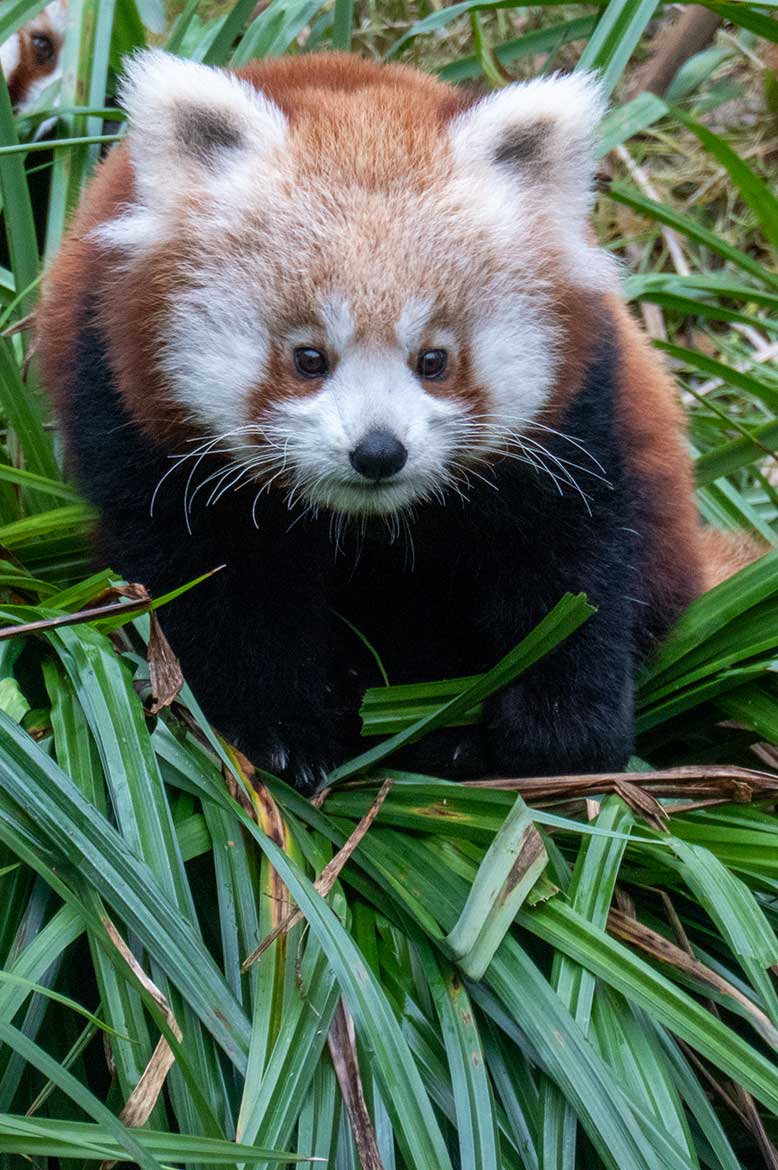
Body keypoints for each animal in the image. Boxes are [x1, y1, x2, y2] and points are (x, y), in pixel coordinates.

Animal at [36, 50, 758, 790]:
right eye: (309, 358)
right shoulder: (127, 415)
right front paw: (275, 738)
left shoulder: (579, 415)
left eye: (433, 360)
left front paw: (565, 745)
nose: (378, 452)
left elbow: (572, 573)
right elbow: (213, 588)